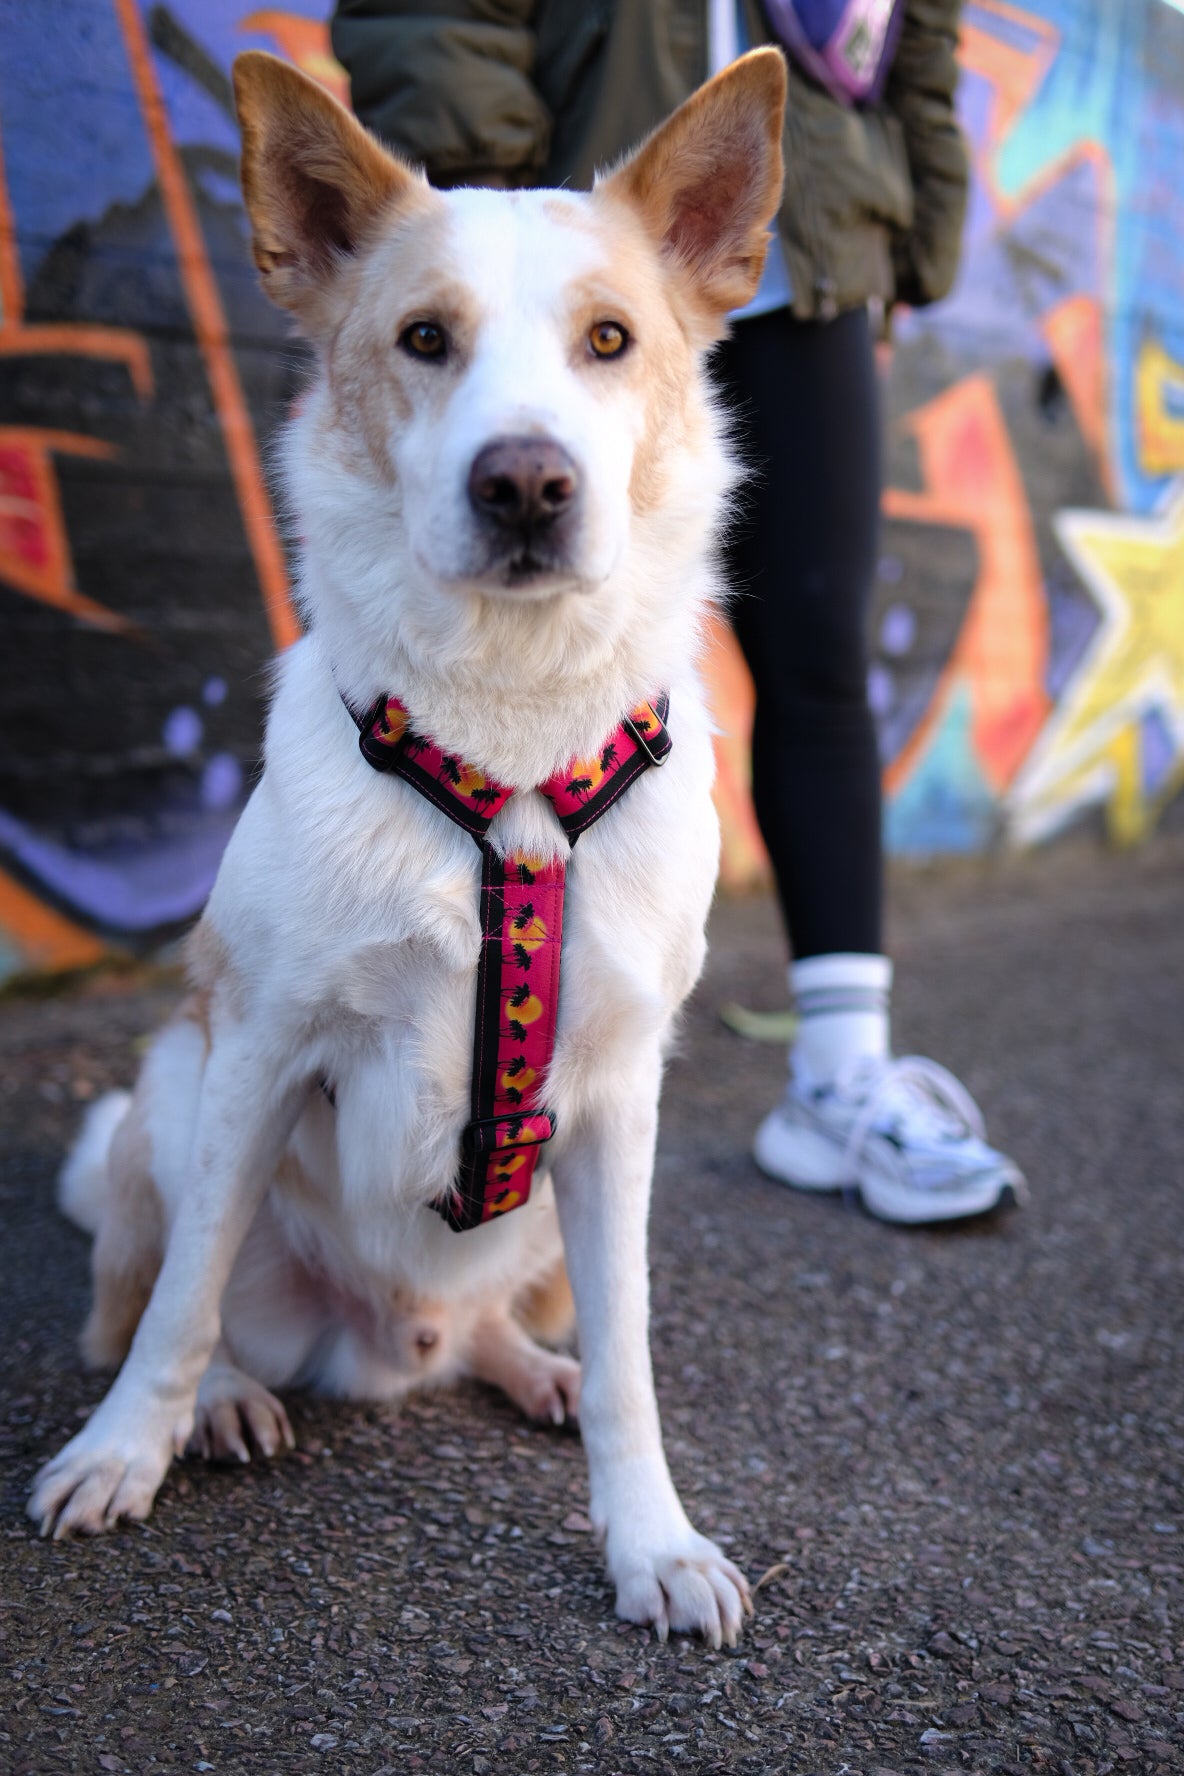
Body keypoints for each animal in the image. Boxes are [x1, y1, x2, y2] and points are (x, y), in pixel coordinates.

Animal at [30, 45, 788, 1648]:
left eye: (611, 340)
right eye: (424, 339)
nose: (526, 485)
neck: (508, 750)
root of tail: (387, 1338)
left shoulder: (618, 1102)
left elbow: (634, 1359)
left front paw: (650, 1539)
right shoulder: (260, 1045)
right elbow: (182, 1297)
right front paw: (127, 1451)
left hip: (542, 1227)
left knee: (509, 1325)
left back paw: (524, 1366)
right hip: (171, 1090)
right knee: (157, 1293)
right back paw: (228, 1400)